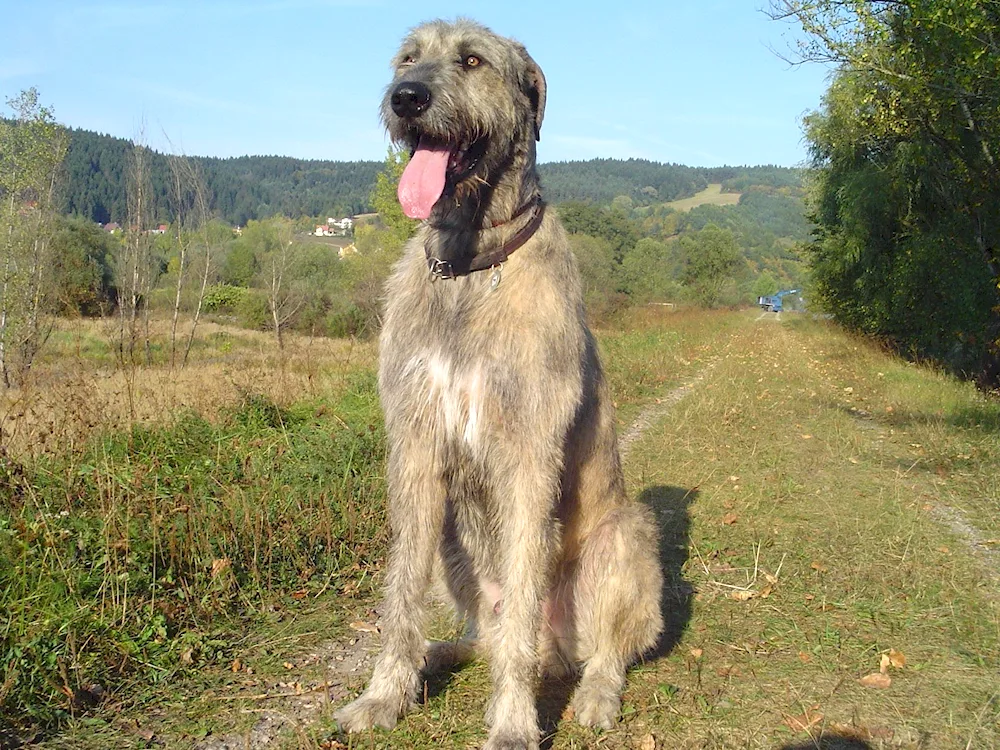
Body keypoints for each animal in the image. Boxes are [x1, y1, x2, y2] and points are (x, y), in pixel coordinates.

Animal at [336, 17, 664, 750]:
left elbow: (520, 609)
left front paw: (512, 724)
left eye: (473, 60)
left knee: (601, 647)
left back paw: (594, 693)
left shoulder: (528, 453)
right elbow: (400, 593)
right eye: (407, 57)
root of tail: (560, 653)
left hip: (627, 538)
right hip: (454, 542)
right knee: (480, 633)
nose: (405, 98)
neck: (470, 265)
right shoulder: (415, 445)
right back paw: (437, 655)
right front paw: (384, 694)